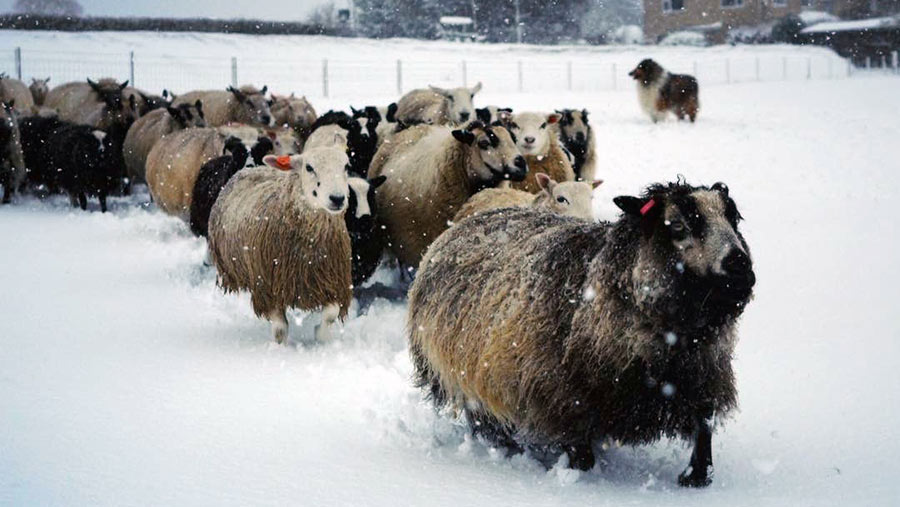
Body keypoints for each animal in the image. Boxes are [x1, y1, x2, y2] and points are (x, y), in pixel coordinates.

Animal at [209, 149, 354, 344]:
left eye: (346, 166)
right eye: (309, 167)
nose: (337, 198)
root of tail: (255, 167)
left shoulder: (332, 281)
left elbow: (331, 314)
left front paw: (320, 336)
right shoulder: (267, 287)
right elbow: (280, 329)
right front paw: (280, 348)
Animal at [406, 182, 752, 488]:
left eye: (733, 219)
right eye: (678, 226)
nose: (740, 265)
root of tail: (458, 226)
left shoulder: (703, 375)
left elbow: (704, 426)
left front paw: (696, 478)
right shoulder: (563, 395)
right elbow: (580, 453)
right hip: (467, 373)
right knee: (482, 417)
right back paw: (504, 447)